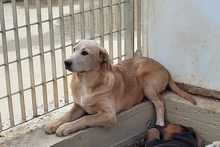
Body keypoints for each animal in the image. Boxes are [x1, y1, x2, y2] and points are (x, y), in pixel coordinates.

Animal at [44, 39, 196, 136]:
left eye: (85, 53)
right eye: (74, 50)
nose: (66, 62)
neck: (86, 84)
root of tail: (166, 69)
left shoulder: (109, 114)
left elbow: (85, 119)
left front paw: (66, 127)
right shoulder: (78, 106)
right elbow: (66, 114)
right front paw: (54, 123)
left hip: (147, 84)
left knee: (160, 102)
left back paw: (159, 123)